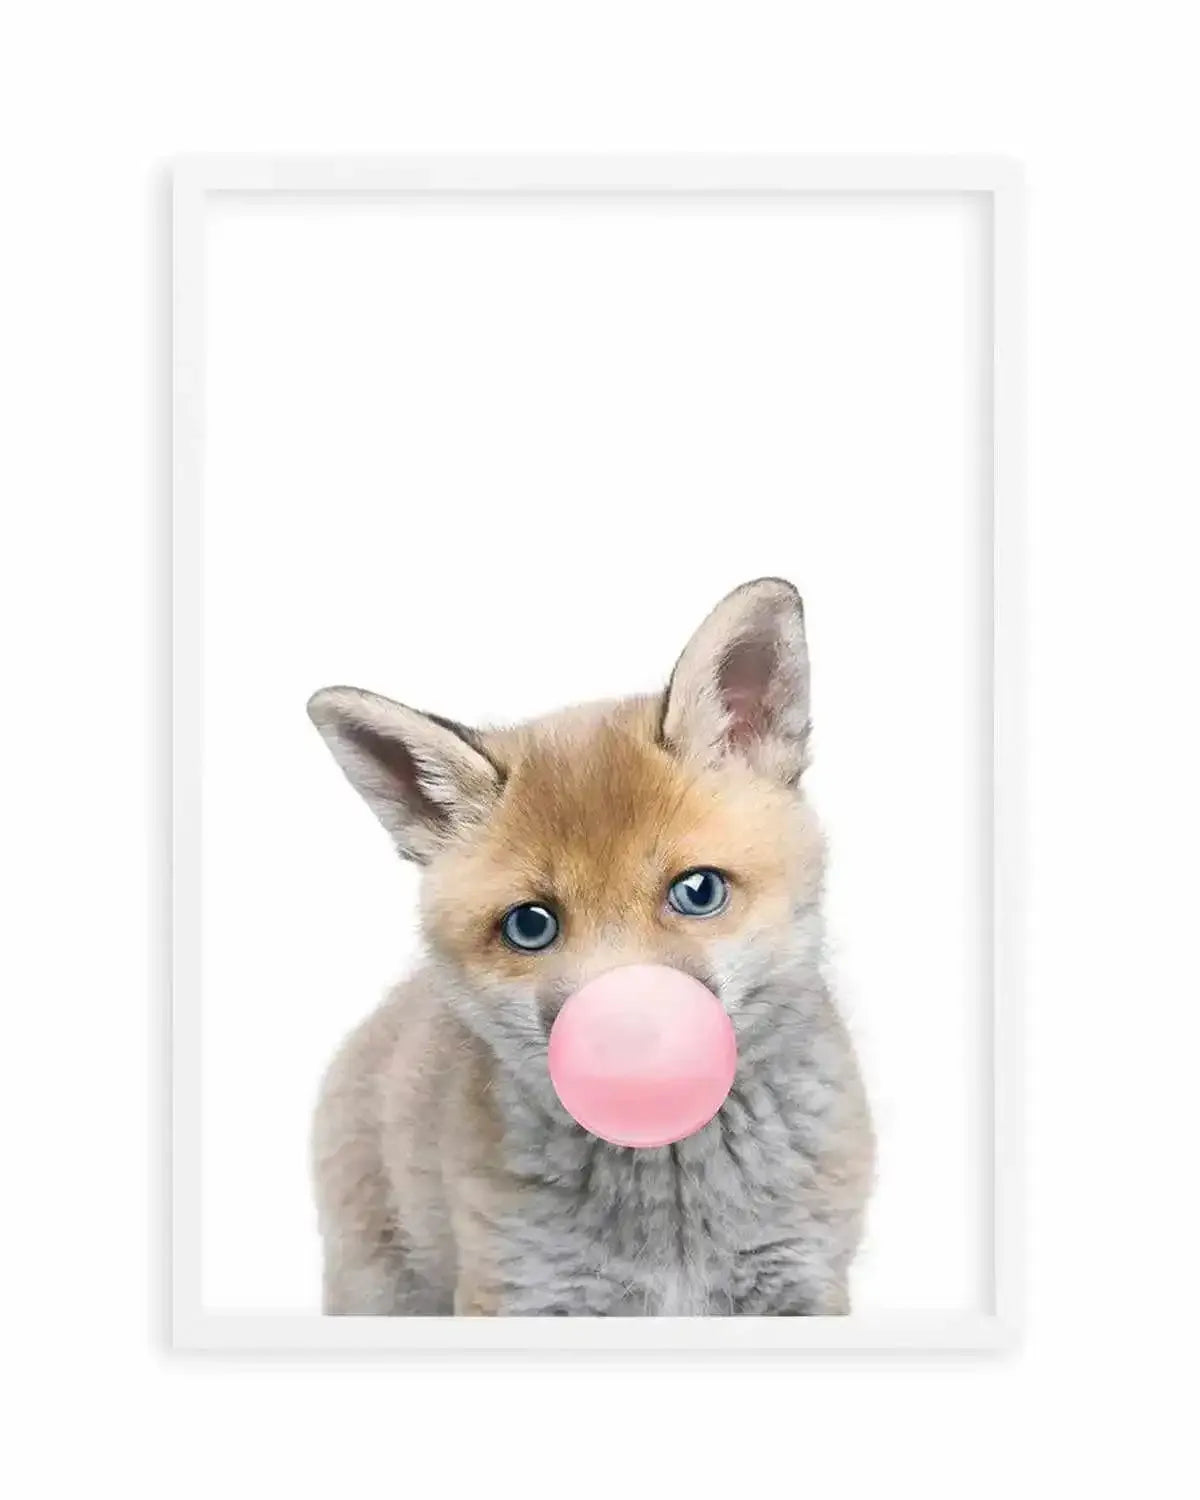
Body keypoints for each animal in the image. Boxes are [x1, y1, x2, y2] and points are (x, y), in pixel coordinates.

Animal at [307, 577, 874, 1316]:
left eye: (697, 891)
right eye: (531, 925)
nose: (626, 1043)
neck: (676, 1232)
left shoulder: (802, 1281)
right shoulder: (522, 1291)